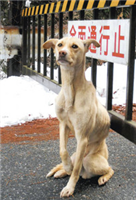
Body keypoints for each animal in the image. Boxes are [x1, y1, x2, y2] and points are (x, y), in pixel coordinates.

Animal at [42, 36, 113, 198]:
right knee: (70, 164)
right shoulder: (63, 125)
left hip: (91, 161)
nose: (62, 53)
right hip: (76, 155)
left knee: (109, 168)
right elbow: (63, 151)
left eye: (75, 46)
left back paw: (103, 178)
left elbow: (75, 170)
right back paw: (61, 171)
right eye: (60, 44)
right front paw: (67, 166)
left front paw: (69, 188)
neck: (70, 89)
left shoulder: (82, 137)